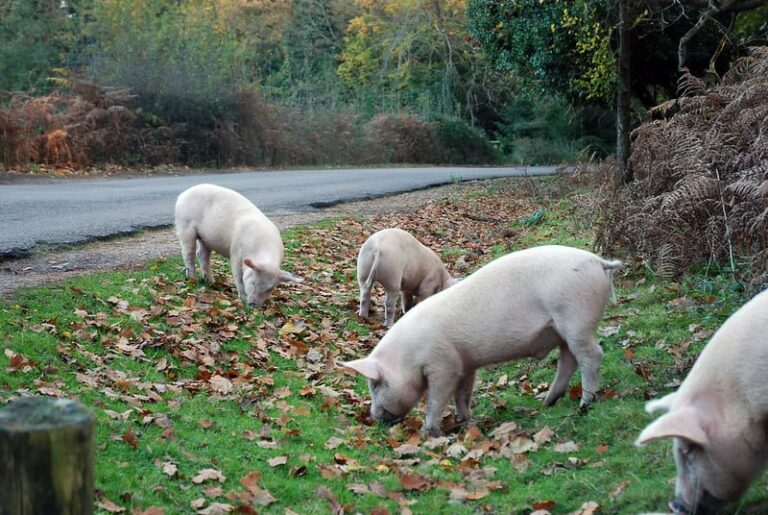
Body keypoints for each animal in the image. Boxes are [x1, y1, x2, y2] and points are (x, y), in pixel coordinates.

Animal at [174, 183, 302, 306]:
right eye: (253, 282)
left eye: (269, 289)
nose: (253, 305)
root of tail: (183, 194)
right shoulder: (235, 252)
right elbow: (239, 277)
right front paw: (243, 300)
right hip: (184, 225)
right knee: (188, 253)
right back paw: (193, 279)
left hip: (205, 238)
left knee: (202, 254)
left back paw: (211, 282)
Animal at [340, 245, 622, 436]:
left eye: (375, 384)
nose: (373, 417)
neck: (409, 355)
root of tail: (598, 262)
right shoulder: (466, 364)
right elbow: (463, 395)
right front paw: (464, 420)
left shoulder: (443, 365)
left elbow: (437, 398)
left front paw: (429, 432)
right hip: (563, 330)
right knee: (568, 361)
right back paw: (547, 402)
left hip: (576, 319)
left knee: (592, 356)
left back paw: (585, 404)